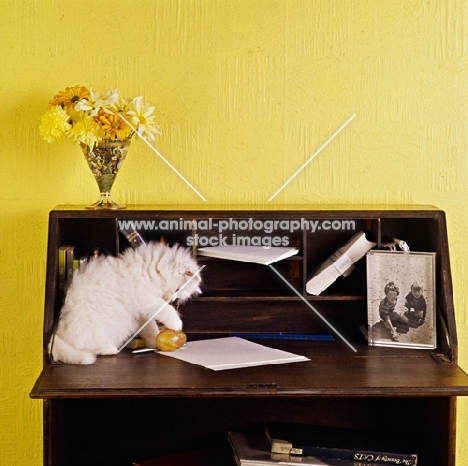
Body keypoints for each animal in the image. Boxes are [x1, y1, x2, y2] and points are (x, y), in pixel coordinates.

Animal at [49, 242, 201, 366]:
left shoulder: (142, 315)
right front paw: (176, 324)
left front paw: (155, 341)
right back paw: (110, 349)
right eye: (177, 290)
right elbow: (166, 310)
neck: (148, 271)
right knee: (90, 347)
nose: (171, 299)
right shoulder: (147, 300)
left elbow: (150, 328)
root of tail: (58, 335)